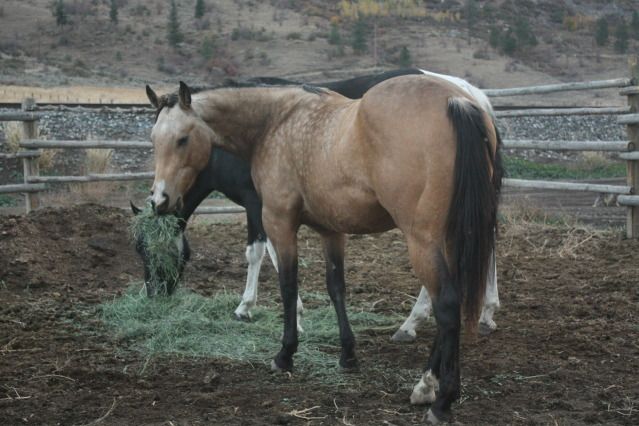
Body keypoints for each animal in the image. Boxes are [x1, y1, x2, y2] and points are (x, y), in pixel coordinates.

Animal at [146, 75, 501, 423]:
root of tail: (459, 101)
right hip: (453, 238)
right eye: (153, 140)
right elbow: (336, 288)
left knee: (447, 306)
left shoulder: (277, 221)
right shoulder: (332, 230)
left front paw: (285, 354)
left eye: (182, 139)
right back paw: (425, 384)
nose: (160, 200)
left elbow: (287, 284)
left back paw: (440, 399)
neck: (275, 121)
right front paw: (348, 355)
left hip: (423, 241)